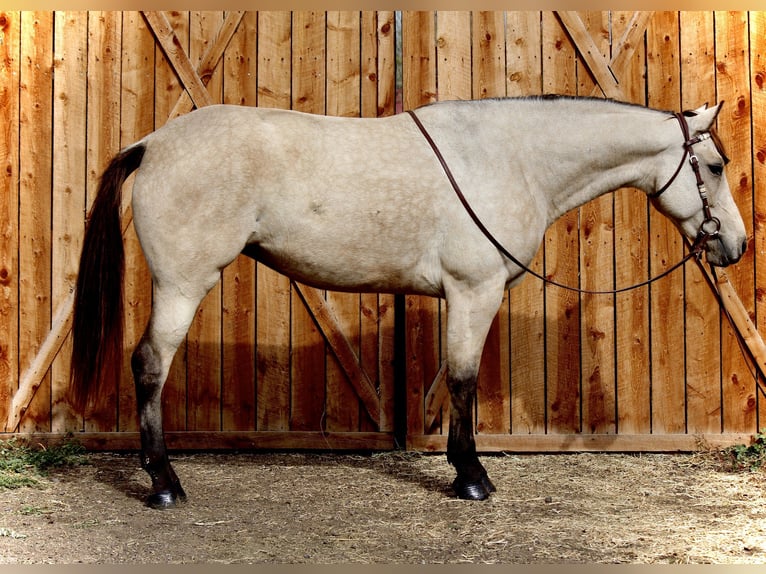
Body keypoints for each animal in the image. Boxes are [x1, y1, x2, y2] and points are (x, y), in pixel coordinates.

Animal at [70, 96, 747, 508]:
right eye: (714, 165)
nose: (736, 246)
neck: (512, 157)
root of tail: (153, 143)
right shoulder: (473, 290)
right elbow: (464, 379)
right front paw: (471, 477)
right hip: (183, 284)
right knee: (150, 365)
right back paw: (164, 484)